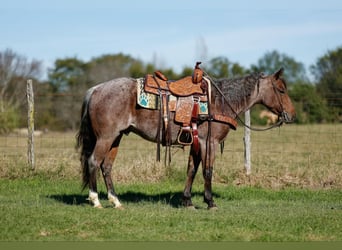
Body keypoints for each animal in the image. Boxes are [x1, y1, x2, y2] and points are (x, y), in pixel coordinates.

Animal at [76, 66, 296, 209]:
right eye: (281, 90)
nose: (292, 116)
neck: (220, 101)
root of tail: (95, 89)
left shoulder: (195, 142)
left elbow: (191, 170)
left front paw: (187, 201)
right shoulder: (209, 143)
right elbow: (207, 171)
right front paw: (210, 202)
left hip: (116, 138)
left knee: (106, 166)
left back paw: (115, 201)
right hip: (106, 137)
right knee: (93, 162)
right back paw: (96, 200)